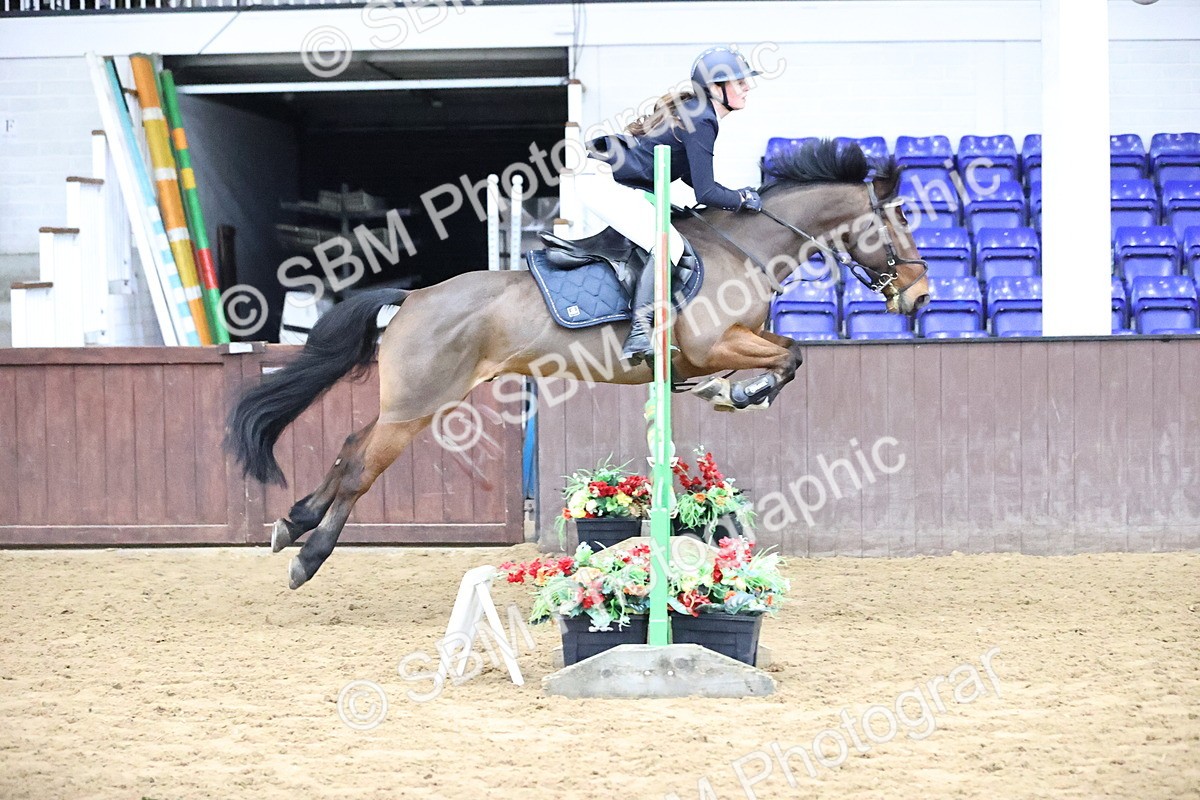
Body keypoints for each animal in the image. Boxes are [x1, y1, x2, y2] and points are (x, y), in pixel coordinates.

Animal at [225, 140, 931, 589]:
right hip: (418, 406)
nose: (922, 296)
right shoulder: (715, 341)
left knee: (349, 447)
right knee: (359, 470)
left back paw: (291, 524)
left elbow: (787, 353)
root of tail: (415, 297)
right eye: (899, 222)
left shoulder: (722, 346)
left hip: (408, 404)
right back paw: (307, 557)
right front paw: (743, 393)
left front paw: (728, 392)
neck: (745, 247)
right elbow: (793, 354)